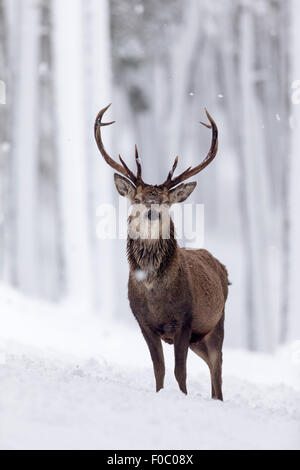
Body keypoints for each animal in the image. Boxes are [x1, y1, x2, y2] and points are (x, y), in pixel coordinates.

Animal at [94, 103, 230, 400]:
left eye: (167, 201)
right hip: (198, 339)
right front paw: (160, 393)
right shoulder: (143, 322)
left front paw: (182, 397)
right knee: (211, 364)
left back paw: (217, 399)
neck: (155, 292)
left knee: (217, 367)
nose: (152, 211)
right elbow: (159, 370)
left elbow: (180, 372)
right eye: (137, 198)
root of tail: (223, 268)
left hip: (216, 323)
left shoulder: (185, 320)